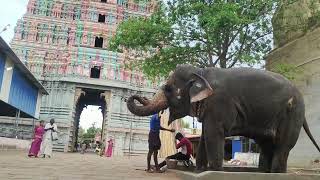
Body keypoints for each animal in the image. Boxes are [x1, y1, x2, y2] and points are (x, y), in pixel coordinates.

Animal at [125, 64, 320, 172]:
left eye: (167, 88)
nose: (135, 95)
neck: (201, 72)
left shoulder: (219, 103)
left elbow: (213, 134)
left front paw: (214, 170)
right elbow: (205, 135)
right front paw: (200, 170)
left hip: (292, 114)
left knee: (282, 145)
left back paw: (276, 172)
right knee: (266, 143)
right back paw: (265, 171)